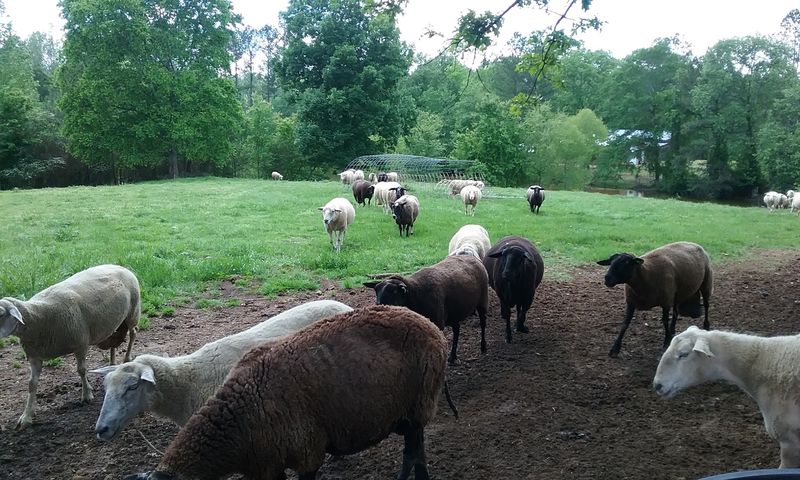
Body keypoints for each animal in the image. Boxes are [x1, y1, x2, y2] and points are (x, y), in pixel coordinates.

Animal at [0, 264, 140, 431]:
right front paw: (26, 417)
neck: (38, 318)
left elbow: (81, 370)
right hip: (115, 321)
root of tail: (119, 265)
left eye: (1, 313)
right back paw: (112, 362)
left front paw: (86, 395)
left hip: (133, 312)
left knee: (133, 333)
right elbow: (31, 384)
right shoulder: (35, 356)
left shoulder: (81, 344)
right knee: (114, 338)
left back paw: (127, 357)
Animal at [124, 305, 456, 480]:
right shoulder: (266, 466)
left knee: (412, 450)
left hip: (418, 403)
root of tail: (426, 323)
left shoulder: (306, 450)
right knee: (417, 448)